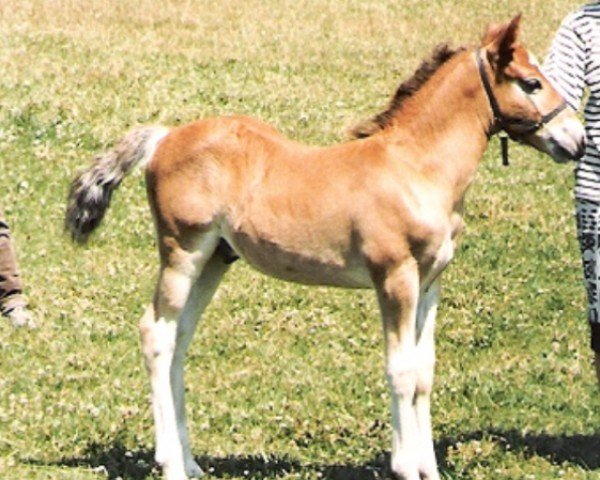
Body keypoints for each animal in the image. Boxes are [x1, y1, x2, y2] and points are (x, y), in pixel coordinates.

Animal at [67, 15, 584, 480]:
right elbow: (400, 370)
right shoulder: (394, 276)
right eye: (532, 83)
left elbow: (423, 373)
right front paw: (404, 466)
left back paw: (191, 462)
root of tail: (163, 138)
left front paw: (428, 469)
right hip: (183, 251)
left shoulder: (430, 281)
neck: (415, 167)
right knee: (156, 334)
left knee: (179, 339)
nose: (576, 140)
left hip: (215, 258)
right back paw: (172, 465)